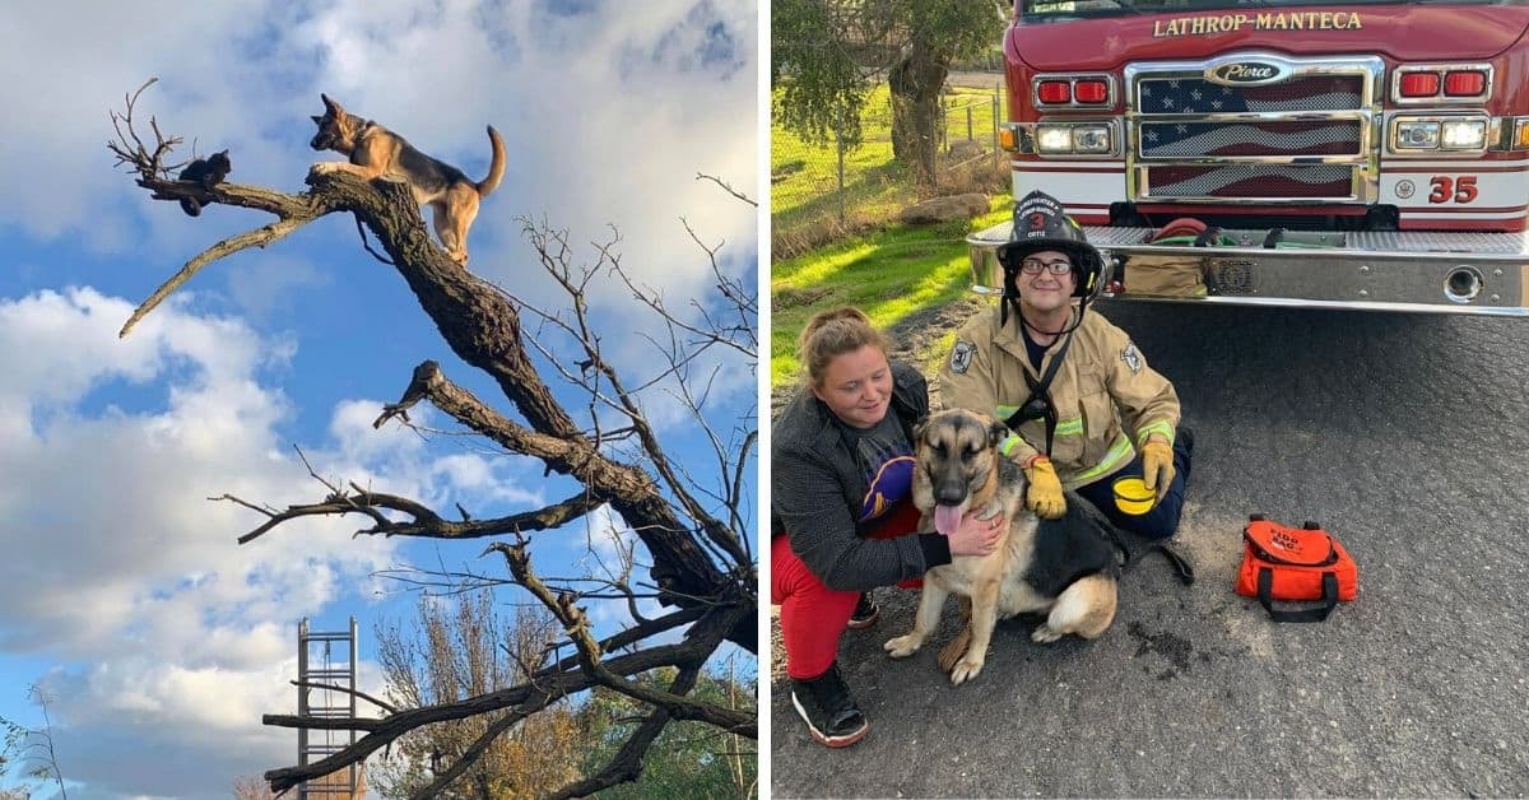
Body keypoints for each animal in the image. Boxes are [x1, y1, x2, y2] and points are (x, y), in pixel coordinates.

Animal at [308, 94, 507, 266]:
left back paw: (453, 256)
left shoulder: (372, 170)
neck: (360, 136)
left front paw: (324, 166)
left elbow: (341, 163)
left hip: (456, 216)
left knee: (464, 252)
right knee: (462, 254)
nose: (311, 144)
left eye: (325, 124)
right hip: (441, 224)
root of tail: (474, 185)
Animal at [886, 409, 1125, 685]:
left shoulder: (984, 587)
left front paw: (972, 662)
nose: (949, 497)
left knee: (1059, 620)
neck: (974, 508)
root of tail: (1114, 564)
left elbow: (979, 630)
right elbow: (924, 619)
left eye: (971, 452)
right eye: (938, 448)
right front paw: (909, 643)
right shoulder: (935, 578)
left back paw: (1046, 630)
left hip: (1071, 606)